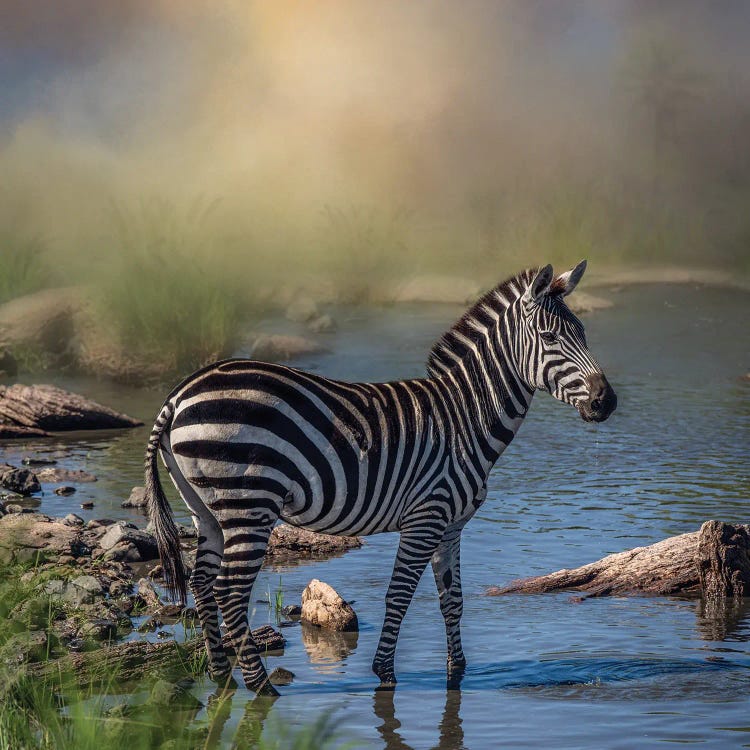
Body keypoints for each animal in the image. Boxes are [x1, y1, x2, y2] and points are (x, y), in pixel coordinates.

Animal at [145, 262, 616, 700]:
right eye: (550, 338)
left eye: (584, 333)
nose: (606, 402)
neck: (466, 418)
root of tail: (178, 394)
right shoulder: (425, 516)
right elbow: (400, 595)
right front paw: (385, 674)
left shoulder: (451, 525)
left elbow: (452, 601)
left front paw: (457, 675)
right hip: (249, 506)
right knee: (228, 590)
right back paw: (261, 688)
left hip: (206, 510)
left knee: (201, 583)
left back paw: (220, 676)